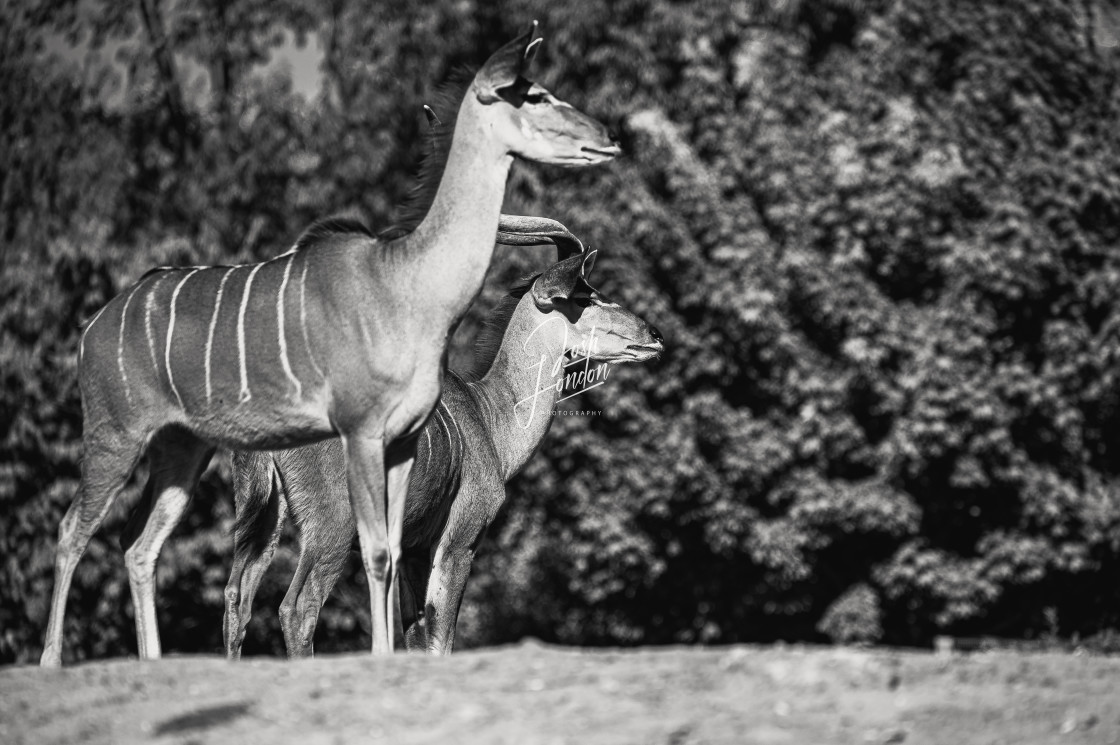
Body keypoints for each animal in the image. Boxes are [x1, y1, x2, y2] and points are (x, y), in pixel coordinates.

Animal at [221, 229, 663, 654]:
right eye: (586, 298)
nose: (655, 335)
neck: (490, 416)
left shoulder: (413, 551)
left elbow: (415, 634)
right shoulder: (458, 541)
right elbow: (441, 637)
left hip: (263, 515)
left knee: (236, 598)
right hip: (332, 525)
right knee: (297, 608)